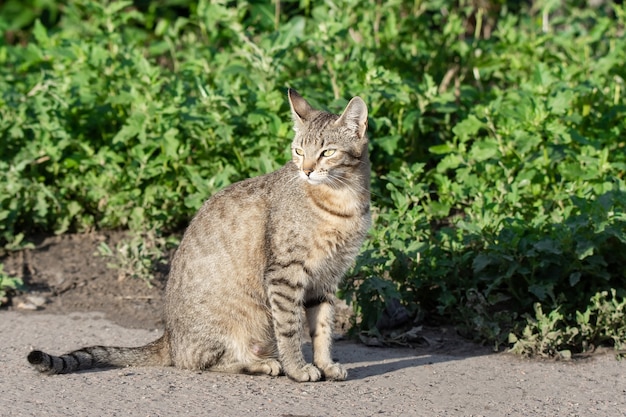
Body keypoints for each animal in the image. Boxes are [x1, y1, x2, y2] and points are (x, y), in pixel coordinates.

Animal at [28, 89, 370, 382]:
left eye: (327, 152)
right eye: (299, 151)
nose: (307, 170)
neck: (341, 201)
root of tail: (168, 337)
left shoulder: (326, 279)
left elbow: (322, 328)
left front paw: (326, 365)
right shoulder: (285, 273)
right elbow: (289, 328)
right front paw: (298, 369)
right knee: (200, 361)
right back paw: (263, 364)